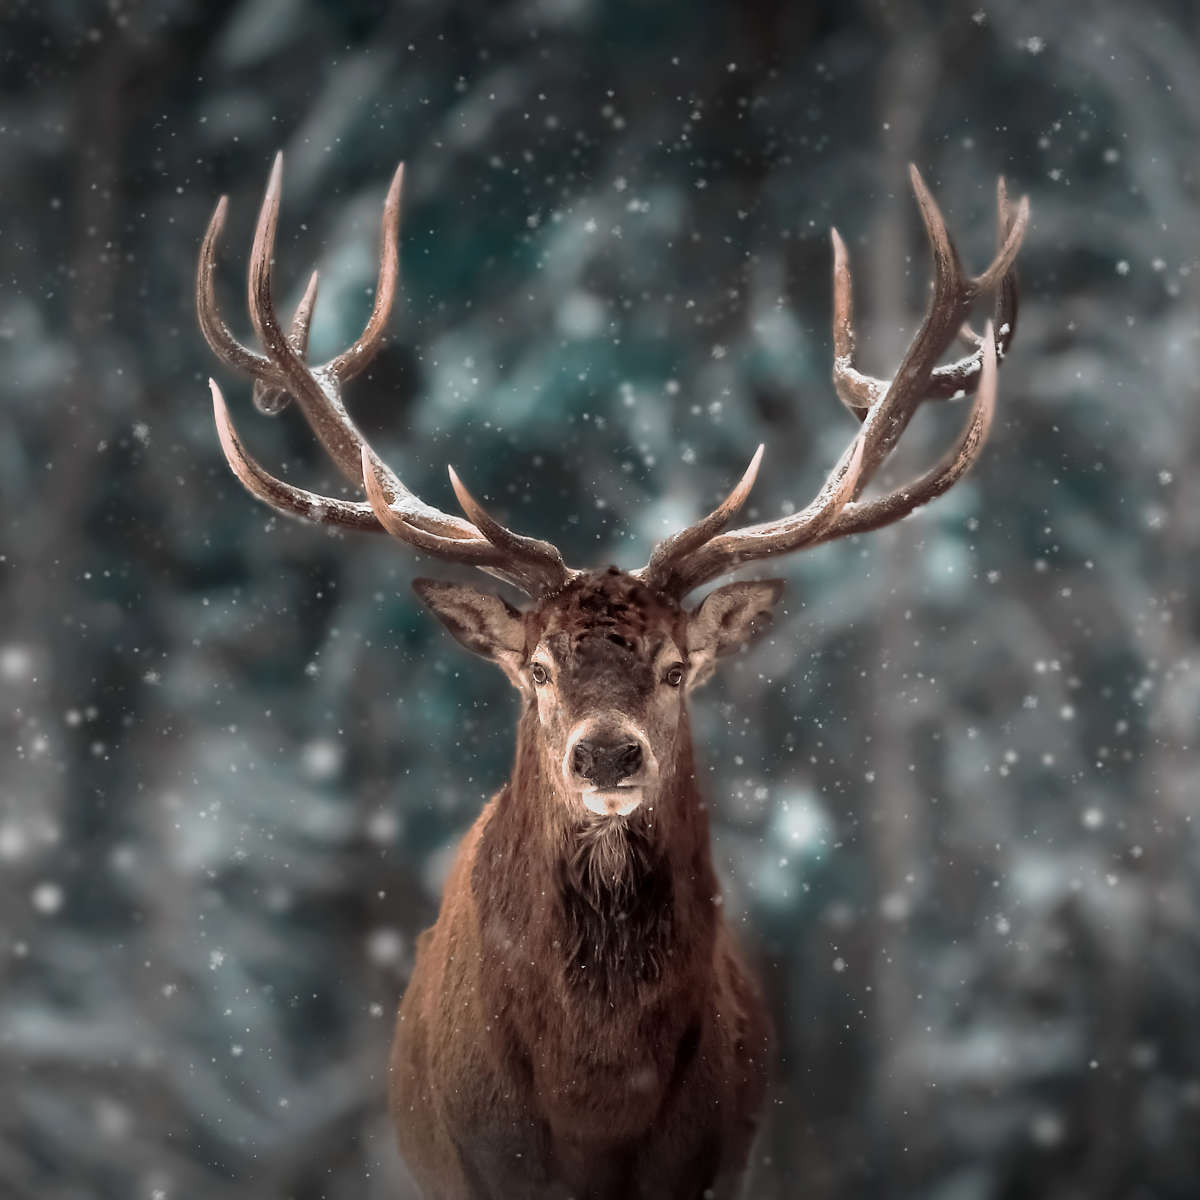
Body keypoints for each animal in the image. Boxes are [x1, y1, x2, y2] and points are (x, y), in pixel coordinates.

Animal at [196, 152, 1028, 1199]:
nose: (605, 757)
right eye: (539, 669)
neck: (595, 1102)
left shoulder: (713, 1165)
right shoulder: (480, 1167)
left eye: (676, 670)